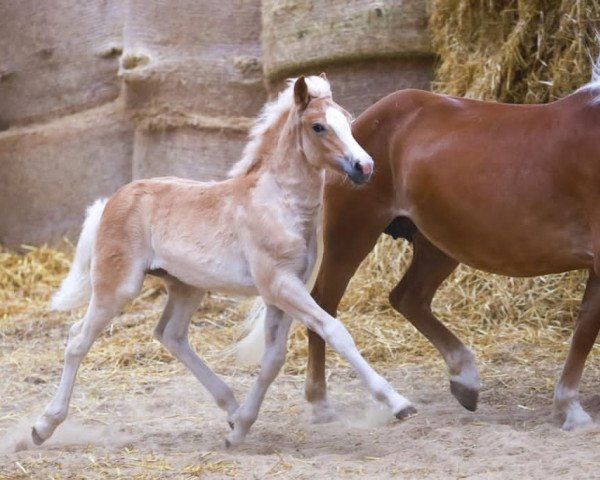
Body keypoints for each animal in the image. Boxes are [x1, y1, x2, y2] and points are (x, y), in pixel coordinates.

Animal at [304, 62, 600, 430]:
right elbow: (585, 331)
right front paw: (571, 409)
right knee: (323, 307)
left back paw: (464, 380)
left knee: (408, 298)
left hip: (438, 244)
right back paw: (320, 404)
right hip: (352, 234)